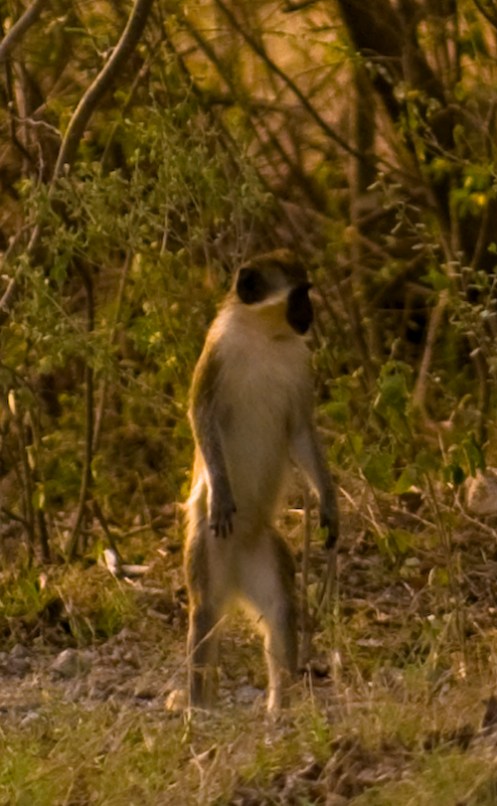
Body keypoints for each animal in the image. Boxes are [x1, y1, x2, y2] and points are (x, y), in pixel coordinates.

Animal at [184, 249, 339, 712]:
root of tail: (236, 568)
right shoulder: (215, 352)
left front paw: (330, 506)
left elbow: (302, 432)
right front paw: (221, 494)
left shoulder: (300, 365)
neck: (263, 338)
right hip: (207, 548)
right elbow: (201, 417)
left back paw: (280, 706)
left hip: (263, 556)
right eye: (299, 295)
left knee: (280, 609)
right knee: (206, 611)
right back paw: (199, 708)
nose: (310, 314)